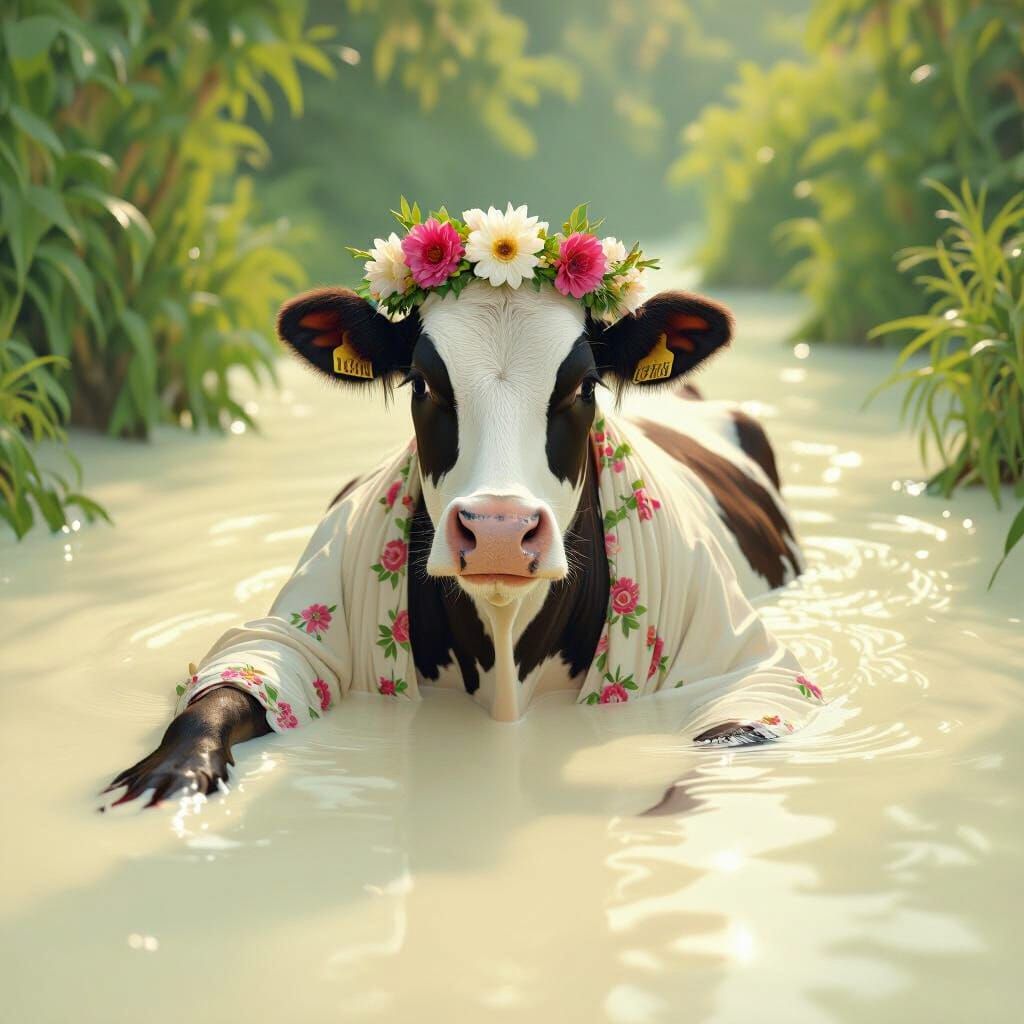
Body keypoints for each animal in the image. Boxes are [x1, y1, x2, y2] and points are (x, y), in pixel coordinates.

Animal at [105, 282, 819, 809]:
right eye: (423, 382)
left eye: (583, 386)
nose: (499, 531)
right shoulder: (306, 627)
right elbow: (233, 681)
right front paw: (176, 769)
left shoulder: (740, 660)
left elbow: (732, 733)